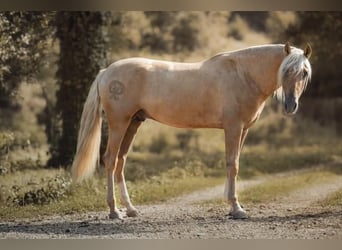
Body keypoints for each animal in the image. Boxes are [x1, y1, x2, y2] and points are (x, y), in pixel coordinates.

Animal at [72, 43, 312, 219]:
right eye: (286, 71)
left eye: (304, 73)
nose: (291, 105)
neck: (243, 74)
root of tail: (106, 72)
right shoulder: (233, 128)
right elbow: (232, 164)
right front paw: (236, 208)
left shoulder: (243, 130)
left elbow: (234, 163)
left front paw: (231, 204)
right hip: (118, 123)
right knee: (111, 160)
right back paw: (114, 211)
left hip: (133, 123)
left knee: (121, 161)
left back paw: (130, 209)